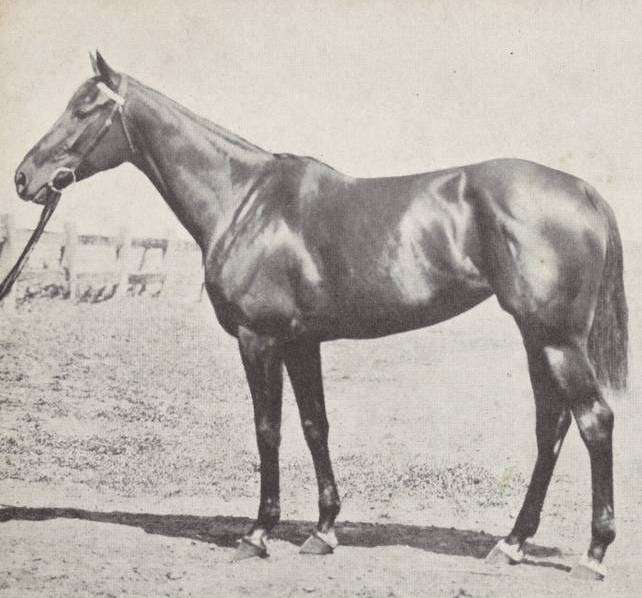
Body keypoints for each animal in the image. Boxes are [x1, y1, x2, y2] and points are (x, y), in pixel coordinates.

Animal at [13, 52, 628, 580]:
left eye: (85, 108)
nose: (24, 178)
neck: (245, 200)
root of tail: (583, 191)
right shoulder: (300, 342)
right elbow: (315, 426)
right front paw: (324, 531)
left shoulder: (257, 339)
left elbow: (268, 429)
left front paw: (258, 533)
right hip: (536, 338)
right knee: (551, 426)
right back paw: (511, 543)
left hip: (556, 340)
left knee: (594, 421)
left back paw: (593, 555)